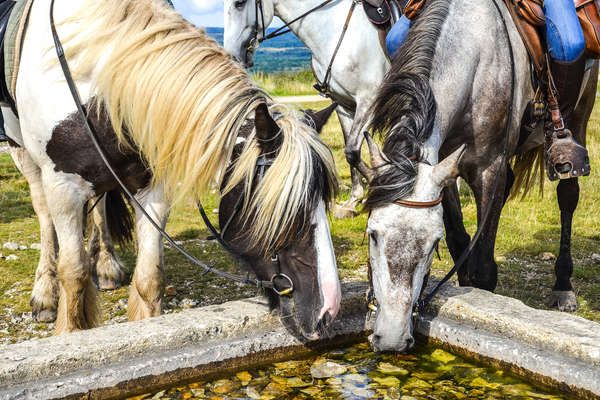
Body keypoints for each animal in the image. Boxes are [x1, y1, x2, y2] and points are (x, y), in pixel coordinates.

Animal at [4, 0, 340, 338]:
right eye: (289, 211)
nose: (328, 312)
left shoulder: (152, 187)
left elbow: (149, 277)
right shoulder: (63, 186)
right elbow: (73, 274)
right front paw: (69, 329)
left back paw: (107, 266)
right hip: (25, 157)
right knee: (44, 214)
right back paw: (45, 294)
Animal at [224, 0, 390, 217]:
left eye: (240, 3)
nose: (232, 56)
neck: (332, 29)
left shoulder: (369, 98)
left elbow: (352, 150)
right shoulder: (344, 105)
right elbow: (351, 149)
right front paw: (353, 202)